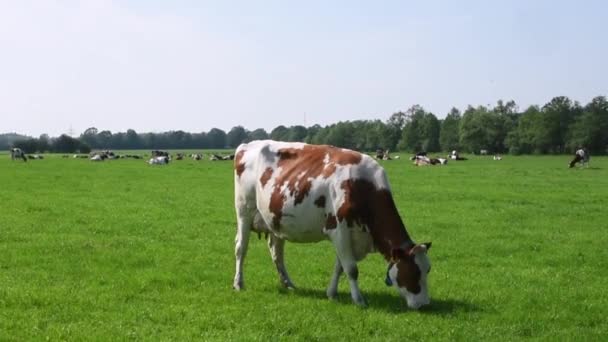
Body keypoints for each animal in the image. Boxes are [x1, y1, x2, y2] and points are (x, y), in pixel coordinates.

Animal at [233, 140, 432, 308]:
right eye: (413, 272)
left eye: (428, 270)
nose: (424, 304)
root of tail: (246, 145)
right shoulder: (339, 230)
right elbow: (351, 269)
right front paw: (359, 300)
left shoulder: (348, 235)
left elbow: (340, 267)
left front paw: (331, 293)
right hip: (244, 211)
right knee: (241, 248)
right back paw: (238, 283)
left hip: (276, 219)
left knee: (277, 253)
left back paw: (288, 283)